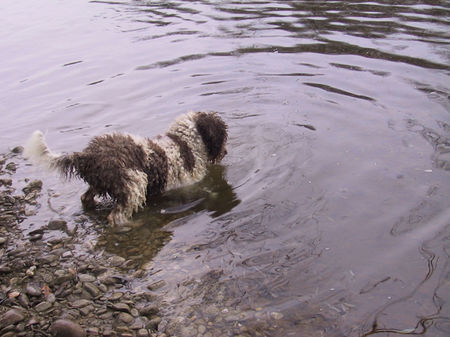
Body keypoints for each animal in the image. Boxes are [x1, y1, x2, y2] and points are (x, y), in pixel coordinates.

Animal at [24, 111, 229, 226]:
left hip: (99, 183)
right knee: (116, 217)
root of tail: (87, 155)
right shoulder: (187, 184)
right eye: (223, 134)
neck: (183, 143)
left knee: (85, 198)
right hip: (135, 182)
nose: (225, 152)